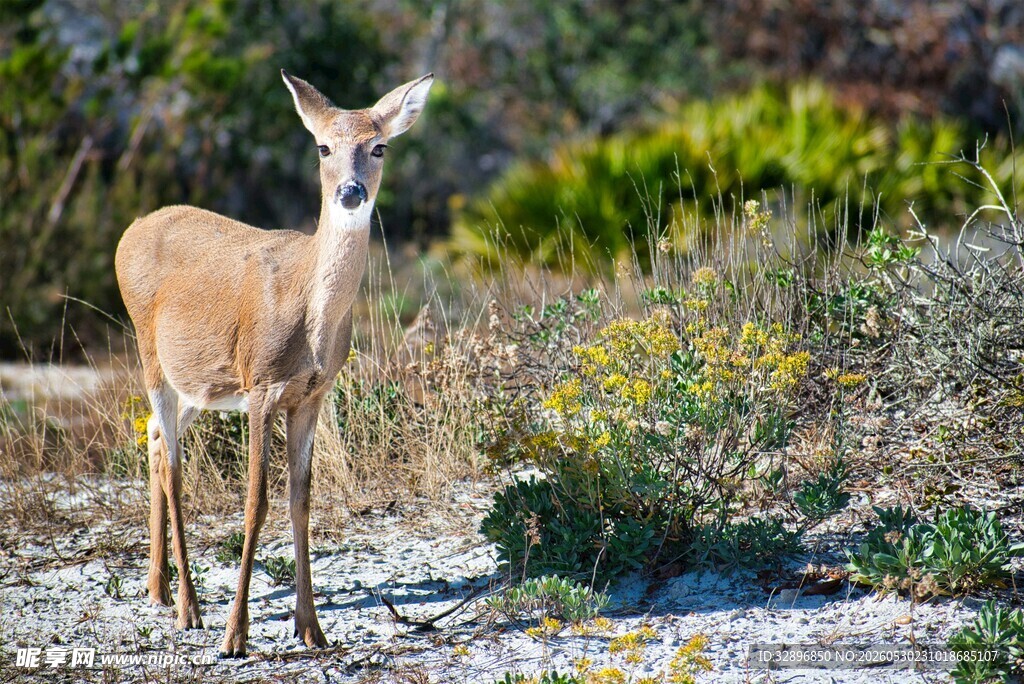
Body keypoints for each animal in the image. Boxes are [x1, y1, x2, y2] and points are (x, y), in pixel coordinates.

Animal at [114, 70, 433, 657]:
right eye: (323, 146)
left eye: (379, 146)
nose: (350, 191)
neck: (309, 313)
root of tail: (132, 229)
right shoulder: (261, 384)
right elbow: (255, 502)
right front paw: (235, 635)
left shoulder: (311, 394)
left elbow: (300, 500)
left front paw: (311, 628)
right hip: (150, 355)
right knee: (173, 465)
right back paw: (190, 608)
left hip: (200, 384)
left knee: (152, 436)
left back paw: (158, 587)